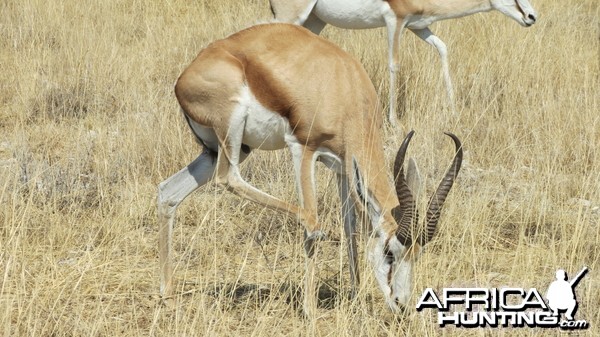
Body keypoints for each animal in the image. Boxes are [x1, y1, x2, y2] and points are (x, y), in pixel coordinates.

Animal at [157, 23, 462, 316]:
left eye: (417, 254)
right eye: (390, 251)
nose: (401, 305)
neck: (345, 87)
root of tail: (184, 77)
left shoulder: (343, 167)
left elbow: (351, 228)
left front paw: (356, 296)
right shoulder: (303, 149)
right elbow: (314, 214)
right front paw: (309, 309)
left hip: (224, 150)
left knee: (168, 192)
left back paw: (167, 297)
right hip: (232, 133)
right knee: (231, 179)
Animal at [270, 0, 536, 120]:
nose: (532, 16)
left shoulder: (419, 26)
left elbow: (443, 49)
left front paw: (453, 109)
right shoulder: (395, 21)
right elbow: (394, 64)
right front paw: (393, 120)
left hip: (314, 20)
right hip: (292, 17)